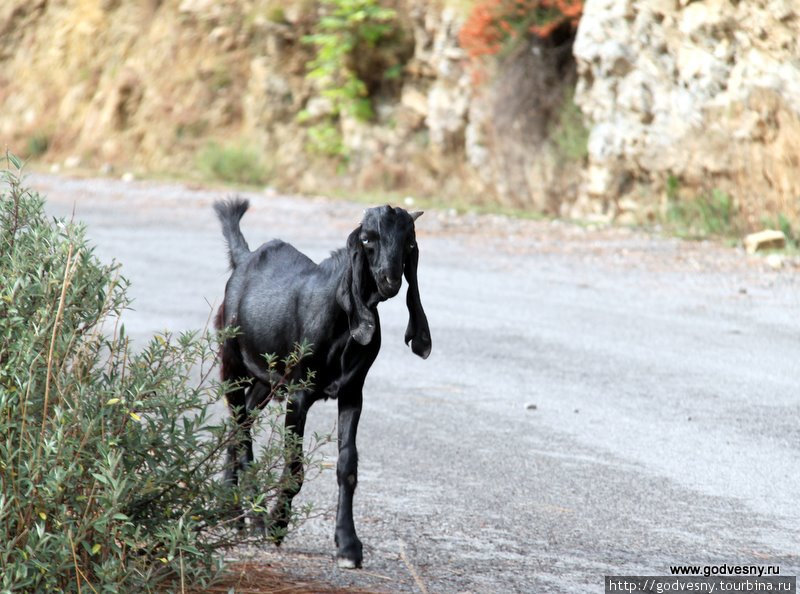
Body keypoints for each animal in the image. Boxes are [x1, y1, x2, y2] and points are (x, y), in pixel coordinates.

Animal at [209, 198, 428, 564]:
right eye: (367, 239)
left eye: (409, 242)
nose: (390, 281)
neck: (340, 316)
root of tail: (244, 260)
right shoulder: (299, 395)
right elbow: (295, 467)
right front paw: (277, 524)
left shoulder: (353, 392)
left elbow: (347, 465)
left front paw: (349, 545)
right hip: (232, 364)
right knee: (241, 430)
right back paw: (251, 518)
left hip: (266, 381)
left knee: (242, 423)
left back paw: (232, 512)